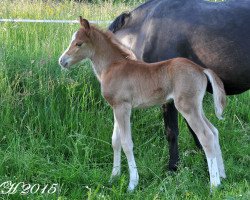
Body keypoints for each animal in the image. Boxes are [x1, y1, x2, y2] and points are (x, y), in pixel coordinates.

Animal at [59, 17, 227, 192]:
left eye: (78, 43)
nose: (62, 61)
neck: (112, 67)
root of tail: (201, 69)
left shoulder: (123, 107)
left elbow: (126, 143)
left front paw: (132, 183)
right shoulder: (116, 107)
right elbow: (115, 141)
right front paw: (114, 177)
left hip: (187, 107)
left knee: (206, 136)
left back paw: (214, 184)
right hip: (196, 107)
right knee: (214, 131)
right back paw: (222, 175)